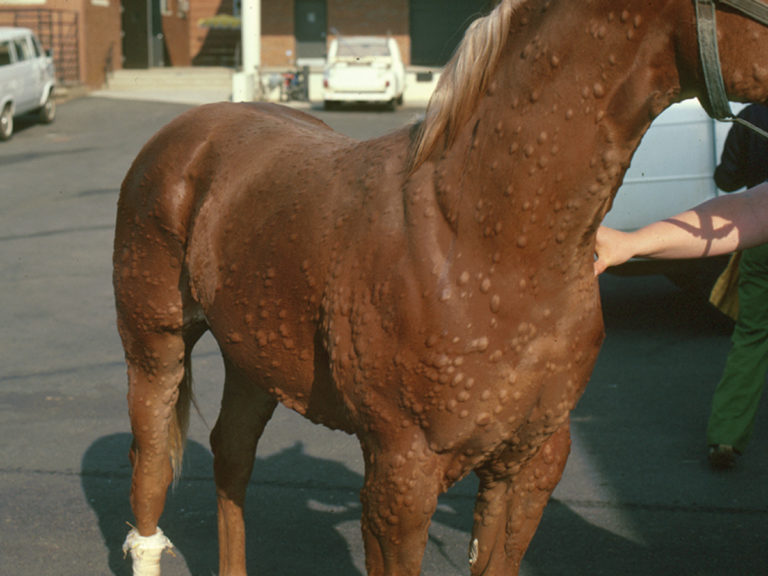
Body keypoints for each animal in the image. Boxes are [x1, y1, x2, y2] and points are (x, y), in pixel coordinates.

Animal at [114, 1, 768, 574]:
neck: (484, 240)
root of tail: (187, 135)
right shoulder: (402, 476)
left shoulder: (528, 465)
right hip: (155, 351)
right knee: (148, 482)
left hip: (253, 359)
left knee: (232, 457)